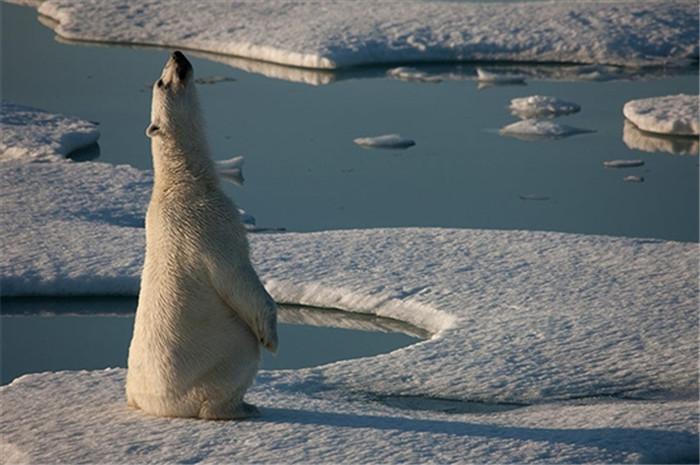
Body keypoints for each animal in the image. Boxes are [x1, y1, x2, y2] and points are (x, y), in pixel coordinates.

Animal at [126, 51, 278, 420]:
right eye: (162, 81)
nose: (177, 54)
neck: (183, 182)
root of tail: (158, 405)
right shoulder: (209, 224)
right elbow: (237, 274)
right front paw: (272, 336)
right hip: (216, 360)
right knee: (241, 355)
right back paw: (242, 407)